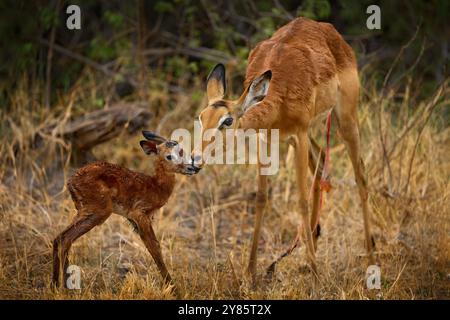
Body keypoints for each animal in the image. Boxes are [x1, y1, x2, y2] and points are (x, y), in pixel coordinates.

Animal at [51, 131, 198, 292]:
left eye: (182, 151)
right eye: (169, 156)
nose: (193, 168)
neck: (155, 186)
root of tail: (71, 182)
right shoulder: (139, 215)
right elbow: (155, 248)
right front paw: (172, 288)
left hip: (86, 213)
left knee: (60, 239)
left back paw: (56, 286)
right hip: (97, 213)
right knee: (65, 239)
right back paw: (66, 287)